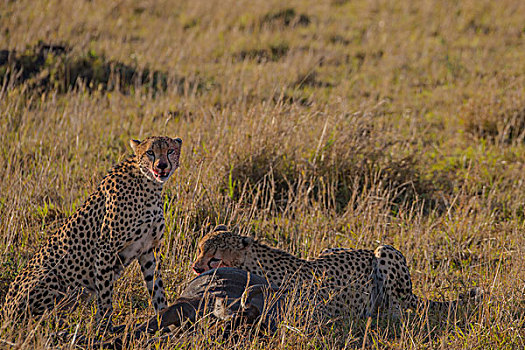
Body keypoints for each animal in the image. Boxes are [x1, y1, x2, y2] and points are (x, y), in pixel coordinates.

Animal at [2, 136, 182, 326]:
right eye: (150, 152)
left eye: (170, 151)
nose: (161, 165)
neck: (149, 185)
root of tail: (5, 311)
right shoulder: (105, 248)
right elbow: (105, 293)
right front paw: (105, 326)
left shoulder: (148, 249)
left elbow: (156, 287)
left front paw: (163, 316)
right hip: (50, 276)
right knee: (36, 318)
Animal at [191, 226, 478, 318]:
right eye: (198, 250)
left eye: (215, 259)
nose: (196, 267)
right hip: (331, 248)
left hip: (384, 251)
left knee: (397, 309)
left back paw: (380, 316)